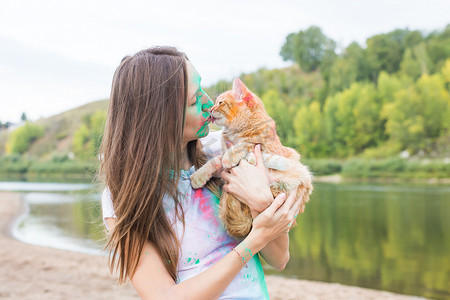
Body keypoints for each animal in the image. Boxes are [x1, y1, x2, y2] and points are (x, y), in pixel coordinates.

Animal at [191, 78, 312, 239]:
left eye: (220, 103)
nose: (210, 109)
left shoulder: (262, 145)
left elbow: (243, 145)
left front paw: (233, 156)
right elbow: (214, 162)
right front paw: (199, 176)